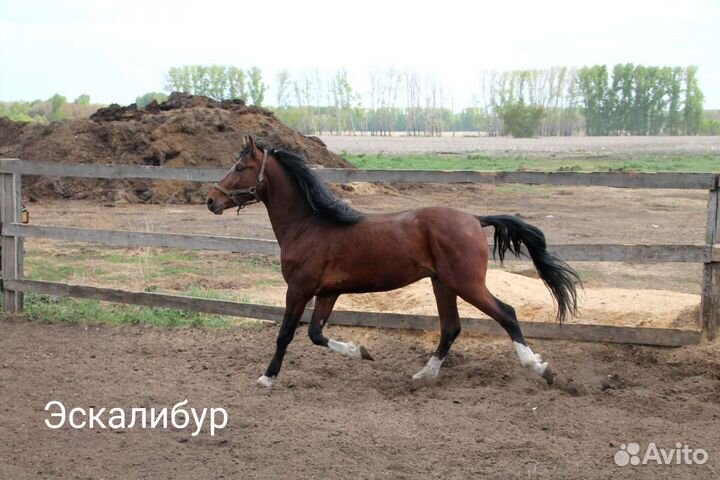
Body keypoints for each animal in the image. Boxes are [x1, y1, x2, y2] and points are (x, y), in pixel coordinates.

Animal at [206, 136, 580, 388]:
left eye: (239, 167)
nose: (211, 200)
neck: (309, 225)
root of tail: (475, 219)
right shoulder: (327, 292)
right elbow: (315, 334)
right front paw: (362, 352)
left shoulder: (299, 289)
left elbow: (286, 334)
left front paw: (266, 378)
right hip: (442, 283)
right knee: (451, 327)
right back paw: (423, 375)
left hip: (466, 283)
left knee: (507, 314)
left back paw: (540, 368)